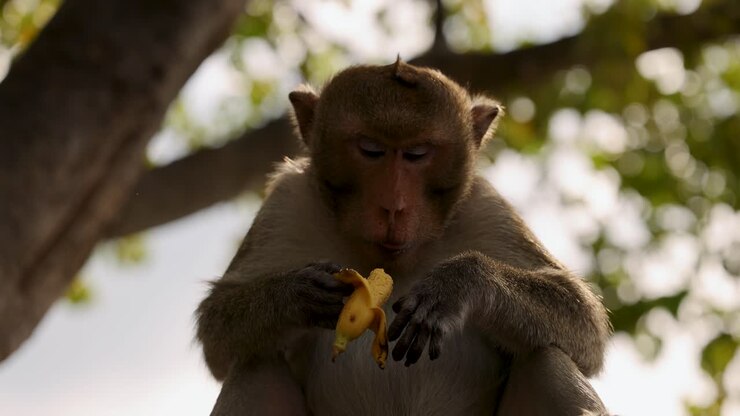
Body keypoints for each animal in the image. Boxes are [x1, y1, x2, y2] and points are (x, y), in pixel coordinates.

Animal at [196, 59, 612, 415]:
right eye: (371, 150)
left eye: (417, 153)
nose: (393, 207)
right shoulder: (287, 201)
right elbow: (217, 326)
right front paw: (298, 294)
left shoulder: (485, 207)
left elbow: (582, 319)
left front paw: (458, 285)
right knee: (255, 360)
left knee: (547, 354)